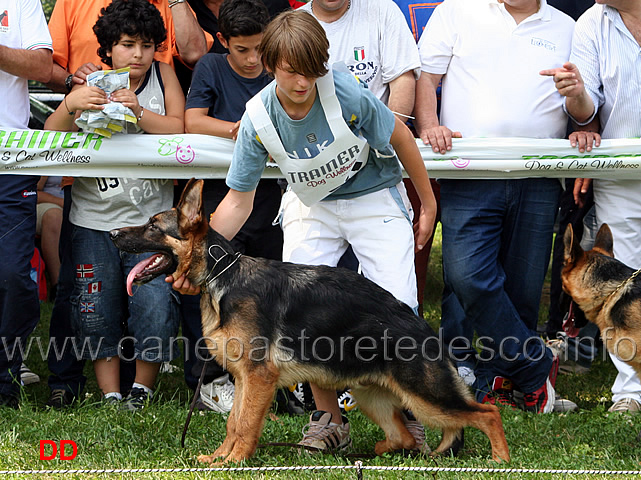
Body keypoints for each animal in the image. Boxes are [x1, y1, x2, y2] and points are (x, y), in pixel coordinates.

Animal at [111, 178, 510, 464]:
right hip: (371, 395)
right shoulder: (245, 379)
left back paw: (500, 460)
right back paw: (383, 451)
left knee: (487, 413)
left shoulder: (258, 378)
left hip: (428, 397)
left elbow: (245, 423)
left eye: (152, 226)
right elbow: (233, 422)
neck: (222, 275)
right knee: (404, 436)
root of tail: (424, 328)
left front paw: (234, 462)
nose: (112, 234)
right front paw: (219, 458)